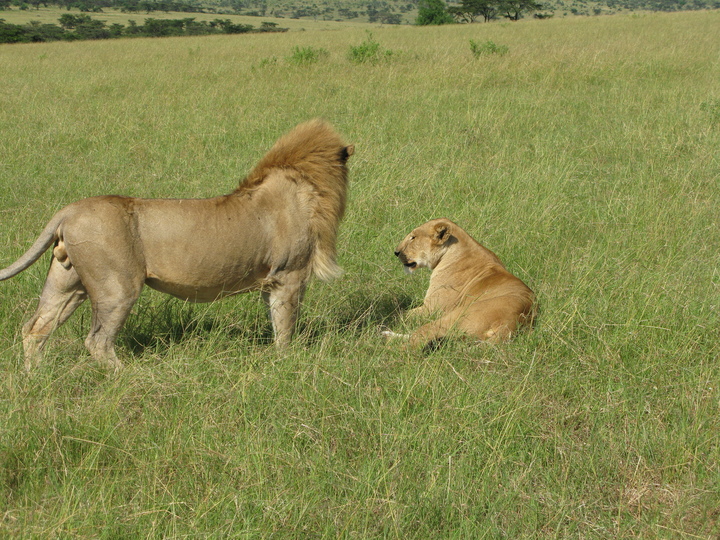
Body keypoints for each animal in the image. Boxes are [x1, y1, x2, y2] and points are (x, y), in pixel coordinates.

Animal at [0, 119, 354, 372]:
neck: (307, 185)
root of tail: (68, 211)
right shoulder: (289, 276)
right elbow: (285, 326)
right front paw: (285, 362)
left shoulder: (272, 280)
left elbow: (276, 321)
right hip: (117, 287)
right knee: (97, 341)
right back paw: (129, 376)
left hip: (68, 281)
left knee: (35, 328)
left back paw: (34, 378)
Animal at [382, 218, 536, 349]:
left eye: (413, 237)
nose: (396, 252)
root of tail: (512, 322)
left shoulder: (431, 309)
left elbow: (400, 313)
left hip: (453, 317)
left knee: (417, 339)